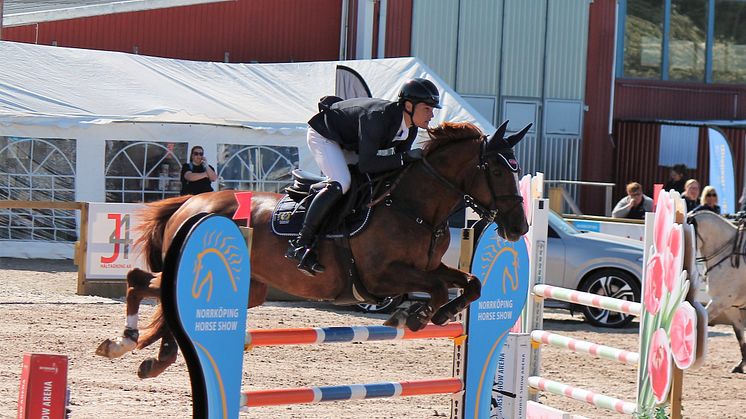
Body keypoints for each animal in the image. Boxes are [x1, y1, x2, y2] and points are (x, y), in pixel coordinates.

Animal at [97, 120, 528, 378]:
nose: (518, 227)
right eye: (497, 169)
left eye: (518, 169)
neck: (415, 207)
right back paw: (124, 340)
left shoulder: (428, 267)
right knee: (138, 279)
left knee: (165, 305)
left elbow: (470, 283)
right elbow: (435, 290)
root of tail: (192, 201)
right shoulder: (381, 276)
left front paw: (440, 313)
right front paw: (417, 316)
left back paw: (154, 358)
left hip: (251, 290)